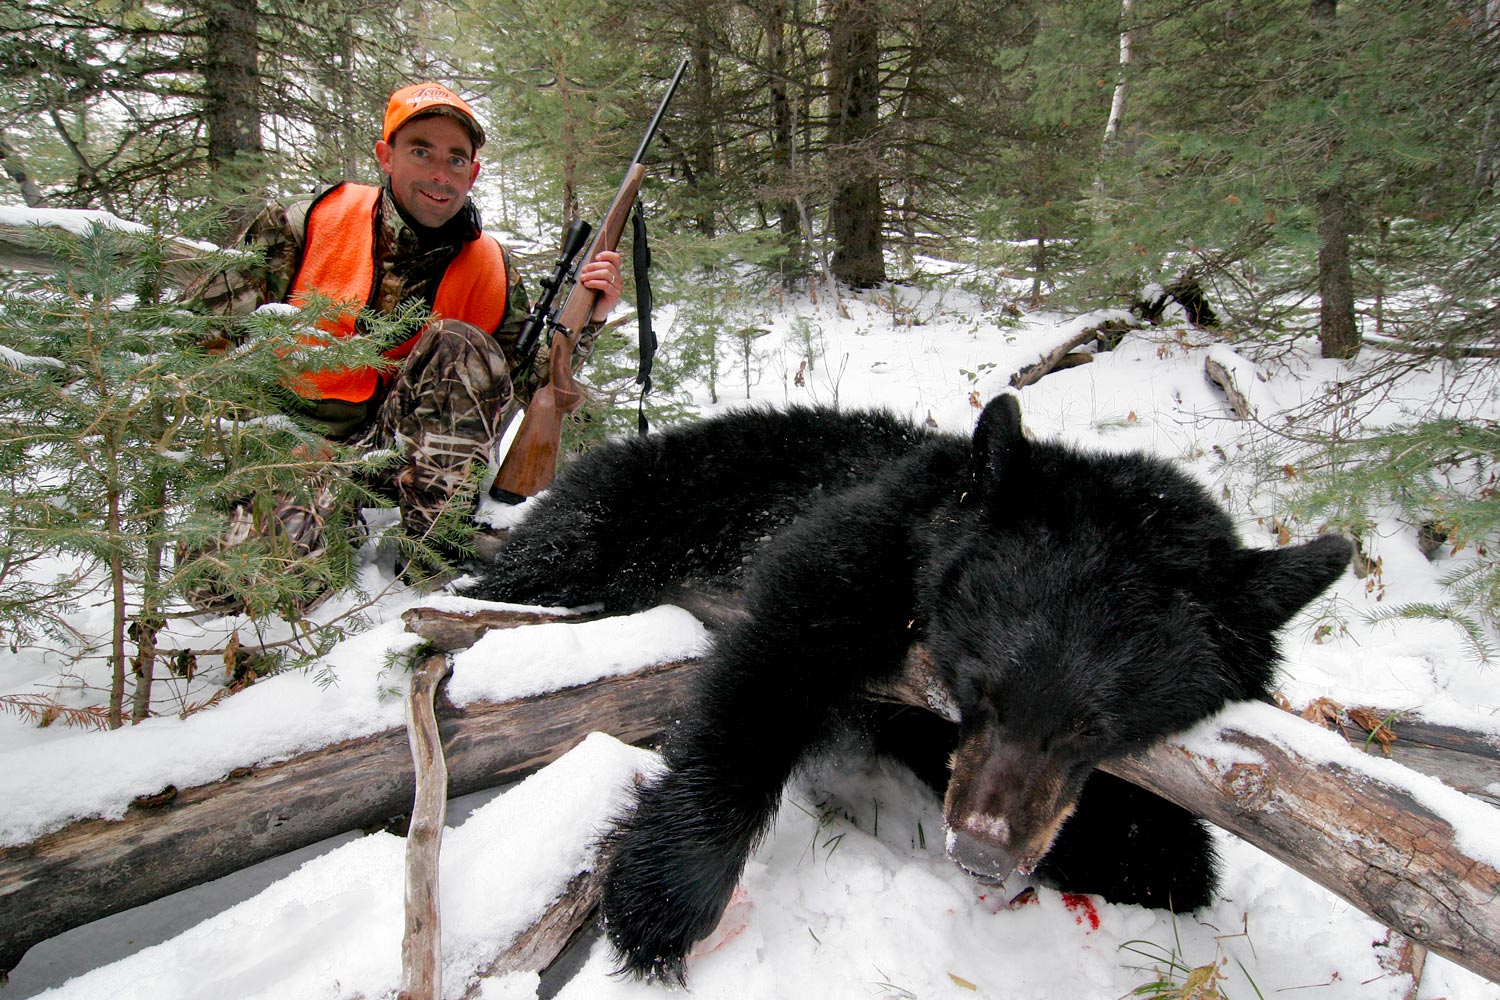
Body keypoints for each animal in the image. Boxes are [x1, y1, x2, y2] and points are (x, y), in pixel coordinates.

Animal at [468, 392, 1350, 983]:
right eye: (982, 687)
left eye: (1093, 729)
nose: (982, 852)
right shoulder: (865, 544)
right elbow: (766, 670)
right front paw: (663, 898)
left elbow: (1166, 863)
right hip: (620, 512)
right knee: (538, 563)